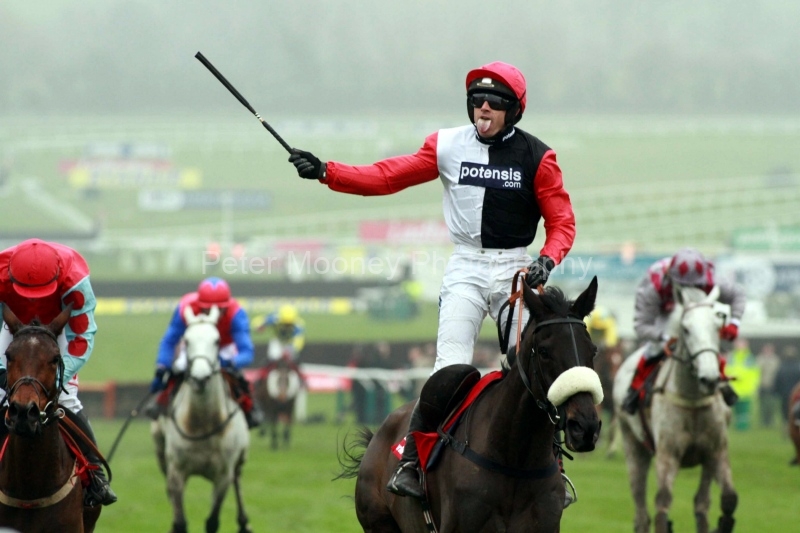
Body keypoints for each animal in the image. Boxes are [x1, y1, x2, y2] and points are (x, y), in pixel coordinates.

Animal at [151, 305, 252, 533]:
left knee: (238, 480)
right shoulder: (177, 472)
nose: (200, 377)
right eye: (186, 340)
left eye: (216, 340)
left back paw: (244, 522)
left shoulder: (222, 475)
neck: (201, 423)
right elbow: (179, 521)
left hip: (239, 460)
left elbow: (212, 521)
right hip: (161, 452)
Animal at [612, 285, 737, 533]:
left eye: (717, 325)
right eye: (686, 329)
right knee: (641, 511)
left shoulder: (715, 451)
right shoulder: (667, 454)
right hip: (633, 445)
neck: (692, 399)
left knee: (701, 503)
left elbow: (727, 499)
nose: (709, 378)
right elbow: (662, 503)